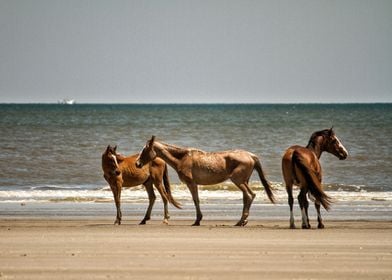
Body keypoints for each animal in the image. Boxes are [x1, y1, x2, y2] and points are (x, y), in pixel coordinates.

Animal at [136, 137, 276, 226]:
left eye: (145, 150)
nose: (137, 164)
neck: (182, 158)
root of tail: (251, 155)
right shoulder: (194, 184)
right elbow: (197, 200)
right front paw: (198, 219)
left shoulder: (191, 183)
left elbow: (195, 200)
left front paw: (197, 220)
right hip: (244, 181)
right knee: (247, 197)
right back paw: (242, 221)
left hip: (238, 181)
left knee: (250, 195)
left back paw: (242, 221)